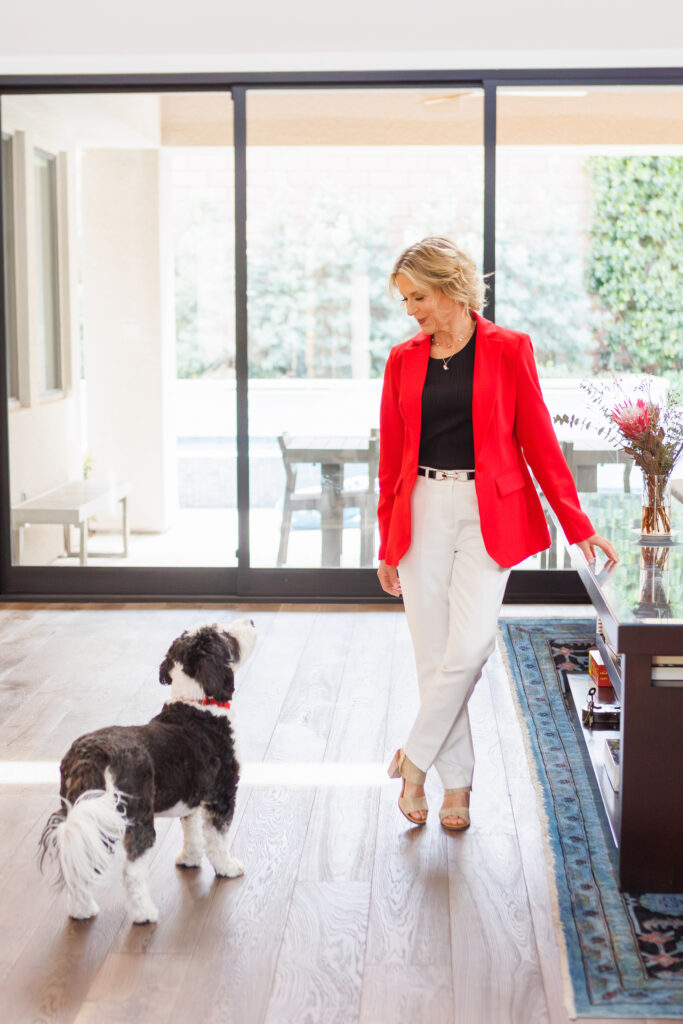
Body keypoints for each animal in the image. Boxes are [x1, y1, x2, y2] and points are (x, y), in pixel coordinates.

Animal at [38, 614, 255, 929]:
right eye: (226, 634)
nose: (251, 620)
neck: (197, 706)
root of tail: (95, 753)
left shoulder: (192, 794)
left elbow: (192, 832)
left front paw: (189, 859)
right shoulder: (221, 793)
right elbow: (217, 837)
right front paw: (227, 867)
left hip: (86, 813)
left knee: (79, 862)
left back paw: (82, 910)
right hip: (136, 816)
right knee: (132, 871)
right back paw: (144, 914)